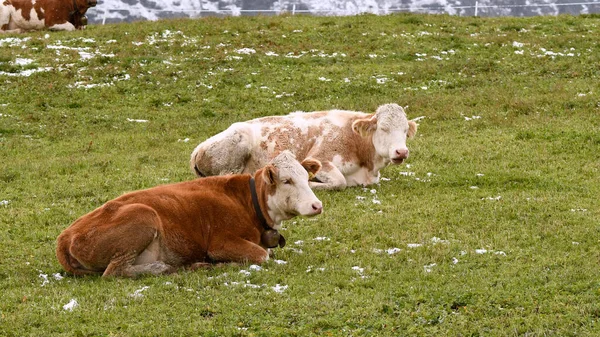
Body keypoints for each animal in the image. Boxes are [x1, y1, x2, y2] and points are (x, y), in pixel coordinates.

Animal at [56, 151, 324, 276]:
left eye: (305, 176)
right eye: (287, 181)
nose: (317, 205)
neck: (247, 202)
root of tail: (66, 236)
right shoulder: (221, 242)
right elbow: (262, 255)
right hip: (143, 216)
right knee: (114, 272)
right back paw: (162, 268)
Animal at [190, 102, 420, 189]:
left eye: (404, 131)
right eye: (383, 128)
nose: (401, 151)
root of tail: (198, 150)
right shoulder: (320, 158)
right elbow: (338, 182)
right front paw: (311, 183)